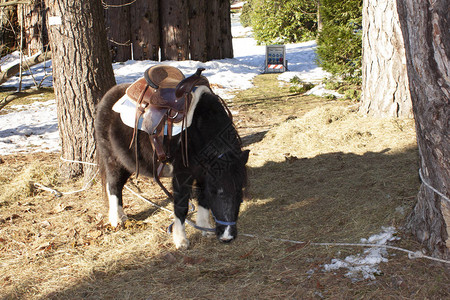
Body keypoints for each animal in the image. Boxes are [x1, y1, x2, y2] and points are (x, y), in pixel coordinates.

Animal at [95, 82, 250, 248]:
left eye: (239, 191)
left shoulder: (204, 174)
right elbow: (181, 206)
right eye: (216, 192)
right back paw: (117, 219)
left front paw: (205, 228)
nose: (227, 237)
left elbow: (203, 199)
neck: (199, 130)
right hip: (113, 160)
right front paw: (181, 240)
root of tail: (106, 98)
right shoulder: (182, 175)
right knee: (114, 186)